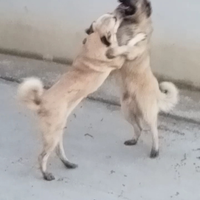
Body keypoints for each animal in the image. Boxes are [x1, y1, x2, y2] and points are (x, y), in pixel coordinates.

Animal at [17, 12, 145, 181]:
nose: (119, 13)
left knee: (58, 150)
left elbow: (123, 45)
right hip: (52, 135)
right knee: (42, 156)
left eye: (111, 15)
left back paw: (68, 163)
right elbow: (127, 46)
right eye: (114, 19)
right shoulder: (119, 59)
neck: (96, 39)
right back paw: (46, 174)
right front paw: (138, 37)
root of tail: (40, 101)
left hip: (57, 132)